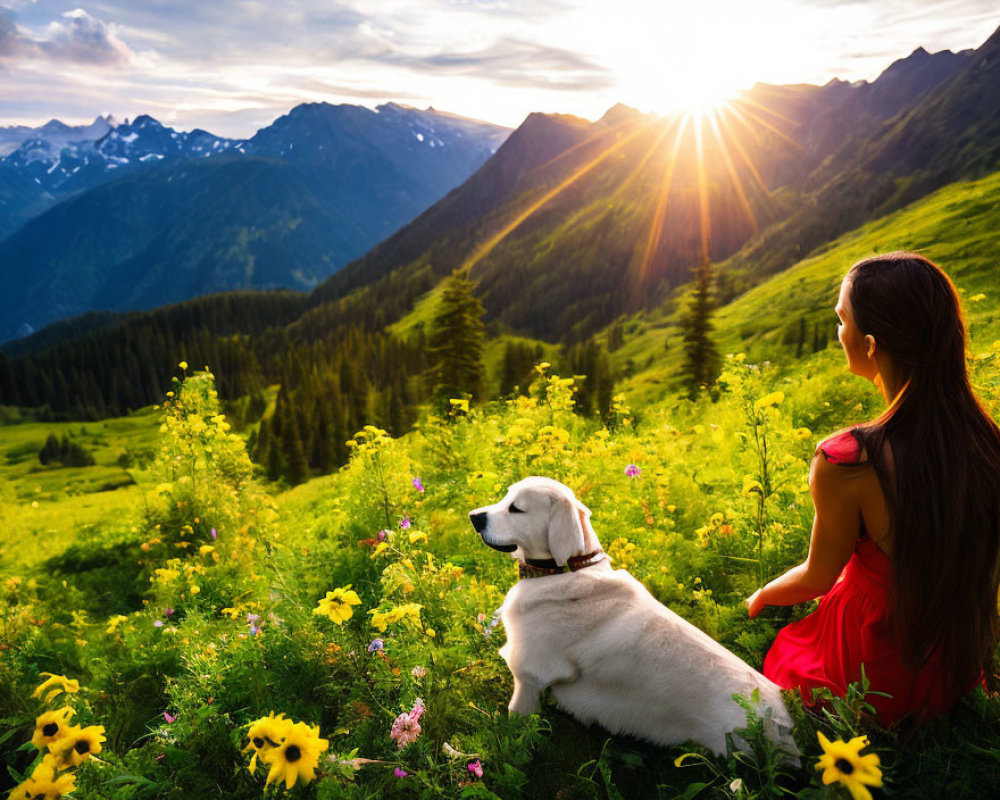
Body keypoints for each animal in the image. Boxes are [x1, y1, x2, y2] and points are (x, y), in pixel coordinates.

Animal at [468, 478, 796, 760]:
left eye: (516, 508)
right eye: (505, 497)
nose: (473, 516)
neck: (565, 570)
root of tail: (790, 731)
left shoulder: (529, 675)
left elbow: (514, 724)